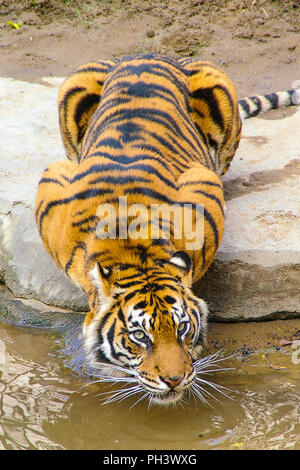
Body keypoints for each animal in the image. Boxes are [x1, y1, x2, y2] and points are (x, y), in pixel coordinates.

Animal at [34, 52, 298, 404]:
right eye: (139, 336)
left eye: (182, 328)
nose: (174, 380)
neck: (131, 249)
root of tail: (145, 55)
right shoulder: (53, 181)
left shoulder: (204, 182)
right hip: (74, 84)